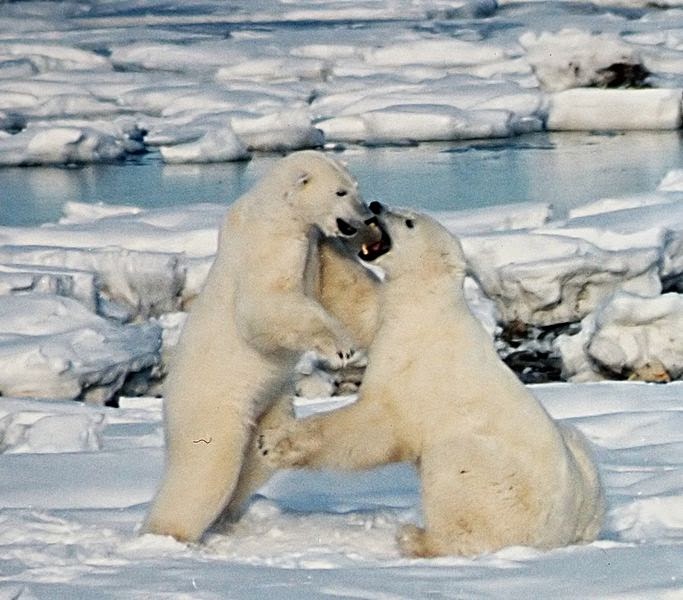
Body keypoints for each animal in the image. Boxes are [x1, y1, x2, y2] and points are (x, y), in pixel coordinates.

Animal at [143, 151, 390, 544]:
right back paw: (170, 533)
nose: (366, 216)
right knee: (206, 466)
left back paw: (229, 517)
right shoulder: (269, 244)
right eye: (340, 192)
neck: (279, 210)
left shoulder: (313, 244)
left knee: (256, 462)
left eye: (356, 187)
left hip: (270, 403)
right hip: (213, 406)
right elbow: (266, 305)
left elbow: (338, 285)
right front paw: (342, 349)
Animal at [256, 206, 604, 556]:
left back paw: (416, 537)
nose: (377, 205)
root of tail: (560, 535)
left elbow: (376, 425)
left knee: (454, 474)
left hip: (494, 480)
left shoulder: (415, 363)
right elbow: (360, 302)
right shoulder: (391, 314)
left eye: (409, 221)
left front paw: (271, 443)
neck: (428, 305)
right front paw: (326, 236)